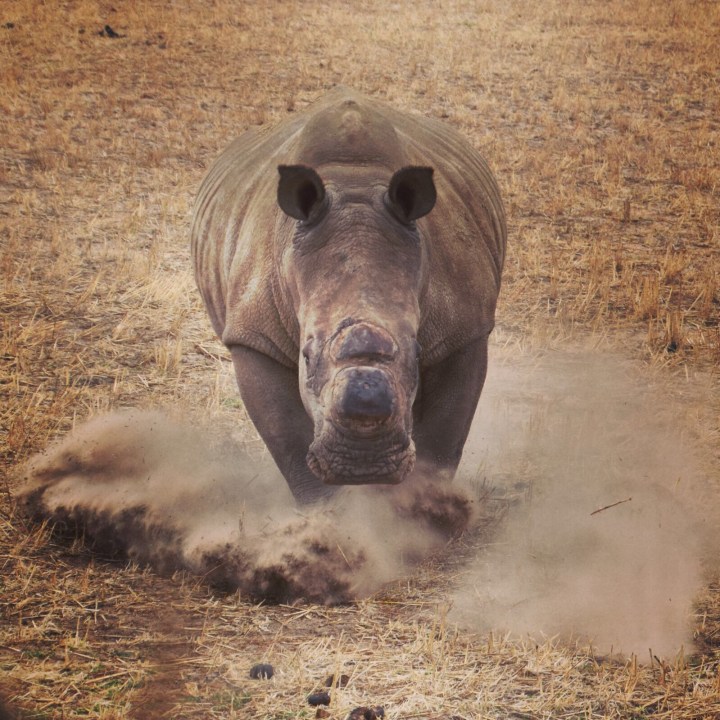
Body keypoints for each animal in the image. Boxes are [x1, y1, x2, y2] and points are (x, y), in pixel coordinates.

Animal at [191, 87, 506, 505]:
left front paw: (422, 511)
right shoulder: (255, 336)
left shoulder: (464, 329)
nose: (363, 462)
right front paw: (327, 519)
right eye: (306, 357)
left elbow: (444, 440)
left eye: (417, 353)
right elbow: (288, 442)